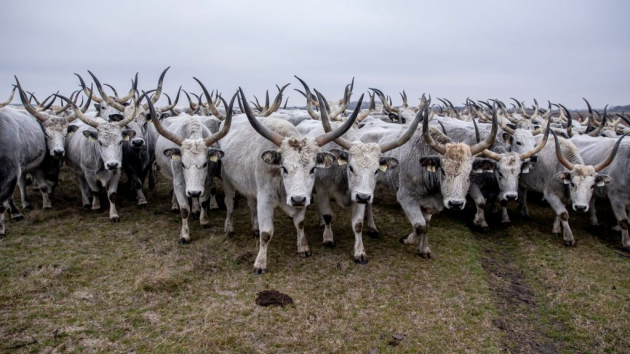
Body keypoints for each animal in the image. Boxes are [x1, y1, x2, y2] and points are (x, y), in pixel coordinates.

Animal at [220, 88, 362, 274]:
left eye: (313, 169)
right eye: (284, 168)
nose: (297, 199)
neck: (283, 185)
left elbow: (300, 223)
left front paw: (303, 248)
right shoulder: (265, 199)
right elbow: (267, 233)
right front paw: (260, 263)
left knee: (251, 205)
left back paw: (254, 227)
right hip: (227, 181)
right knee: (229, 205)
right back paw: (229, 228)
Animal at [362, 105, 502, 258]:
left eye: (469, 173)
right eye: (443, 171)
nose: (455, 204)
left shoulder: (429, 204)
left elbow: (426, 225)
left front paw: (424, 249)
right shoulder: (406, 197)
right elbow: (420, 225)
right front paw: (406, 239)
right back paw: (372, 228)